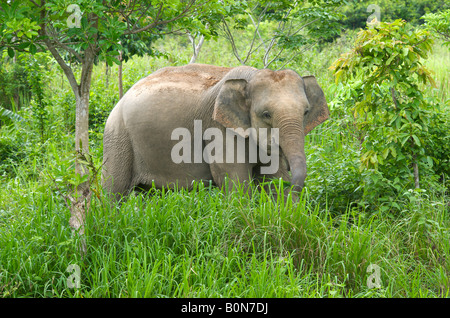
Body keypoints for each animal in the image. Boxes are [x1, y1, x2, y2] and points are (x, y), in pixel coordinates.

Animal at [101, 62, 326, 199]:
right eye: (266, 114)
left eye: (306, 112)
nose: (294, 186)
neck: (251, 76)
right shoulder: (219, 129)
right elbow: (235, 180)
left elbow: (272, 177)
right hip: (118, 138)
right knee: (114, 193)